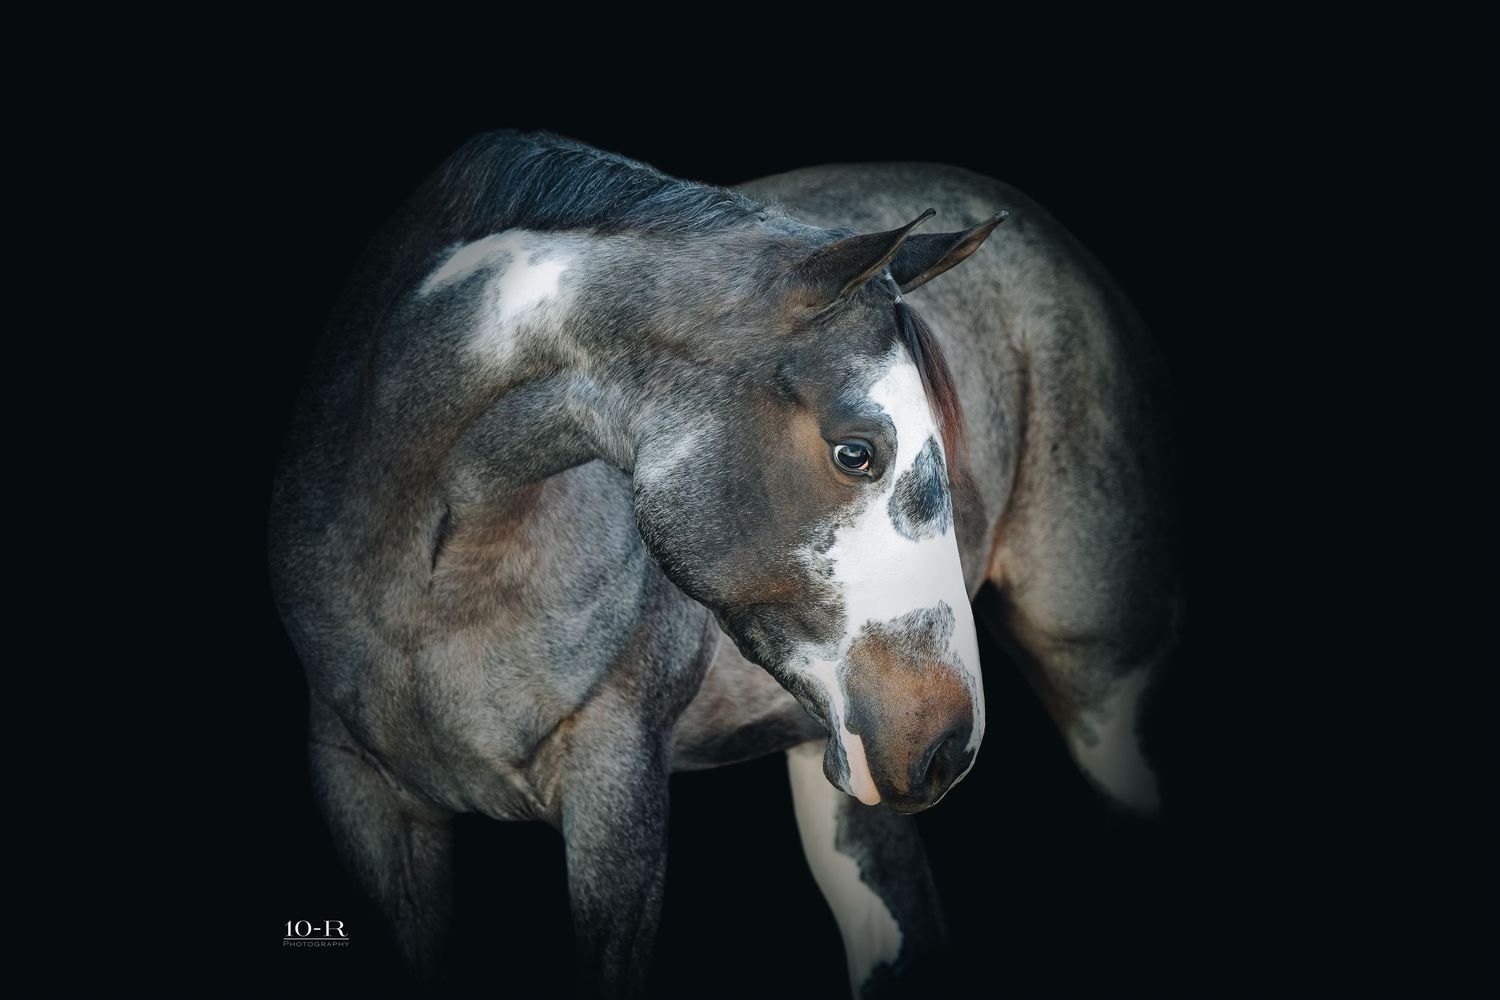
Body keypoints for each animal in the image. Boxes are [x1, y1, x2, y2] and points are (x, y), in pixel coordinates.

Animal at [268, 130, 1179, 998]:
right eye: (856, 453)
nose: (950, 744)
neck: (429, 582)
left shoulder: (616, 793)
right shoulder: (364, 799)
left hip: (1103, 701)